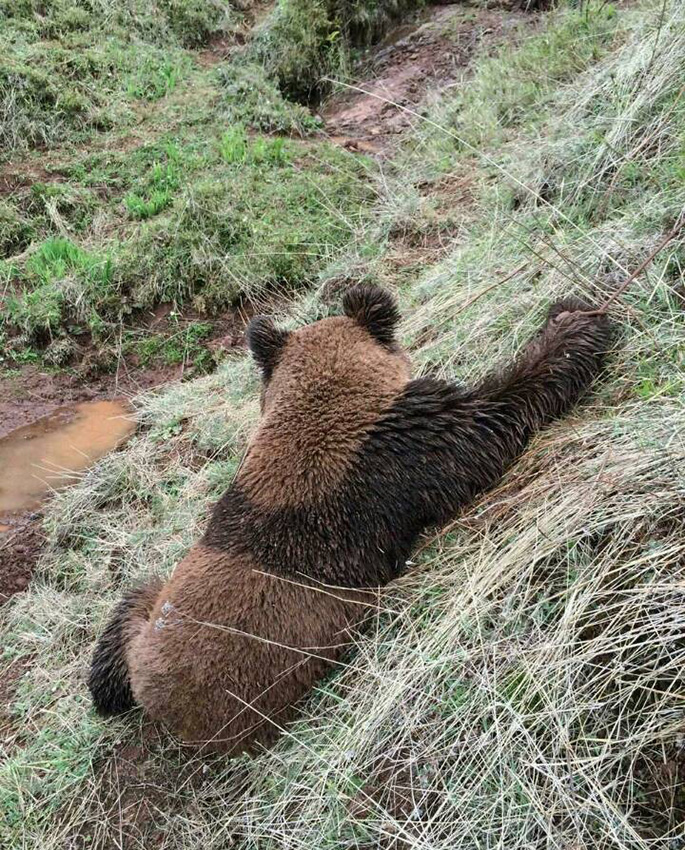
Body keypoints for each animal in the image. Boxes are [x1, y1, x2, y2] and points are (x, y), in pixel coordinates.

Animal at [87, 284, 608, 748]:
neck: (317, 406)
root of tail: (154, 700)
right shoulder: (404, 452)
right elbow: (494, 418)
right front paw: (574, 322)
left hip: (156, 614)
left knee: (136, 599)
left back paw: (106, 683)